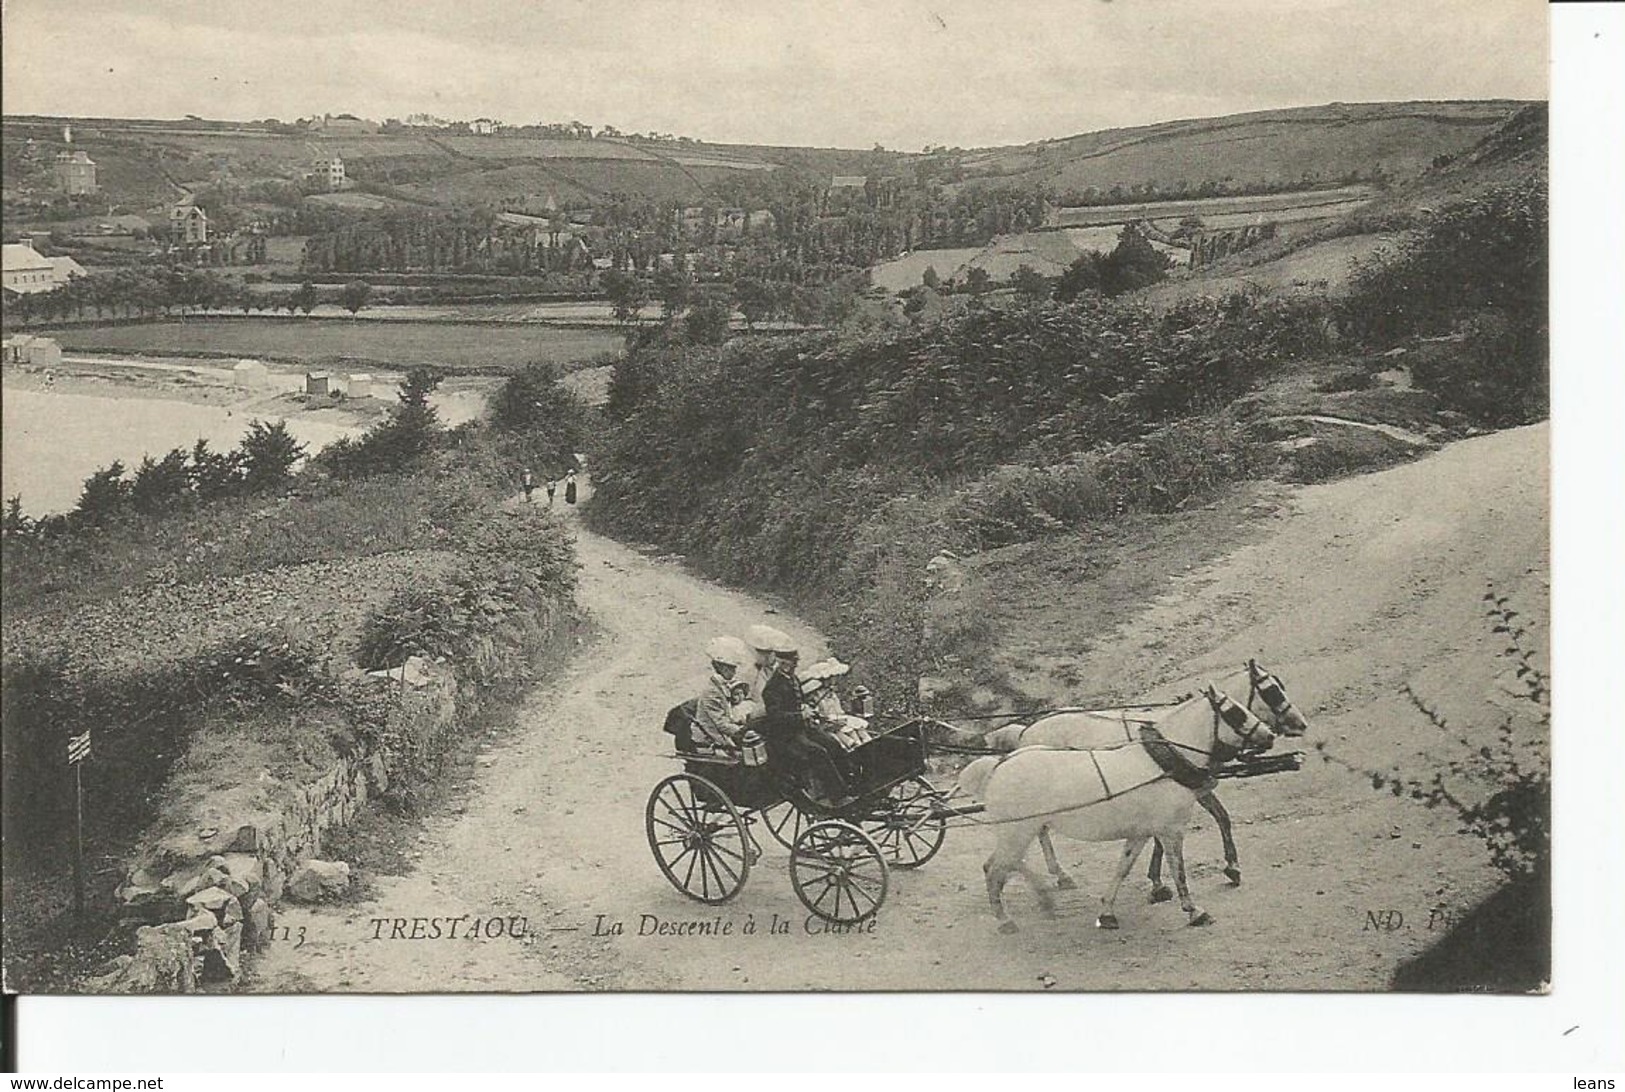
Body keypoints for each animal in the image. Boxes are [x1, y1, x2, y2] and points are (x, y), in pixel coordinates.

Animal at [955, 682, 1274, 929]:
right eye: (1235, 712)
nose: (1269, 734)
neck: (1163, 762)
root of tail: (999, 765)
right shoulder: (1171, 831)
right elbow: (1178, 870)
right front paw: (1195, 911)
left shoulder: (1141, 833)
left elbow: (1124, 867)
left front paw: (1107, 912)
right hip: (1017, 832)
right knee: (996, 867)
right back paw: (1006, 918)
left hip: (1023, 831)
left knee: (1005, 864)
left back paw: (1043, 897)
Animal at [975, 659, 1306, 890]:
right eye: (1272, 691)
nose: (1300, 723)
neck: (1177, 737)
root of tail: (1027, 731)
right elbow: (1210, 821)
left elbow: (1213, 819)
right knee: (1040, 832)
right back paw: (1059, 874)